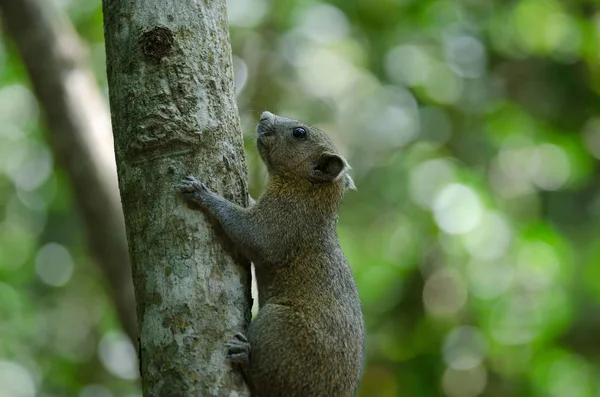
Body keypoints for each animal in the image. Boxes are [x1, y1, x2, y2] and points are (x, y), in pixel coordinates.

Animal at [178, 111, 366, 396]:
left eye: (299, 133)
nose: (265, 115)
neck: (309, 191)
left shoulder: (284, 221)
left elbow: (251, 235)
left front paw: (202, 192)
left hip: (279, 327)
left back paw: (244, 357)